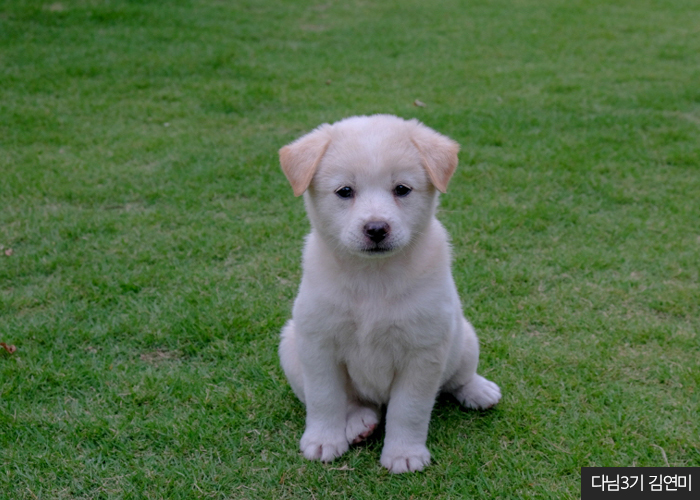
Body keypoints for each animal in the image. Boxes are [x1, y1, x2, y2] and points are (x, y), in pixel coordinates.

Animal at [276, 113, 500, 472]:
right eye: (345, 191)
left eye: (402, 189)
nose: (377, 229)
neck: (373, 278)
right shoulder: (318, 343)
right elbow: (325, 398)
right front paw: (323, 440)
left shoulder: (423, 351)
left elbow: (408, 410)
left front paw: (403, 454)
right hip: (290, 347)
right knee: (354, 402)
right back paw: (358, 422)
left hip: (464, 337)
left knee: (459, 377)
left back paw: (478, 391)